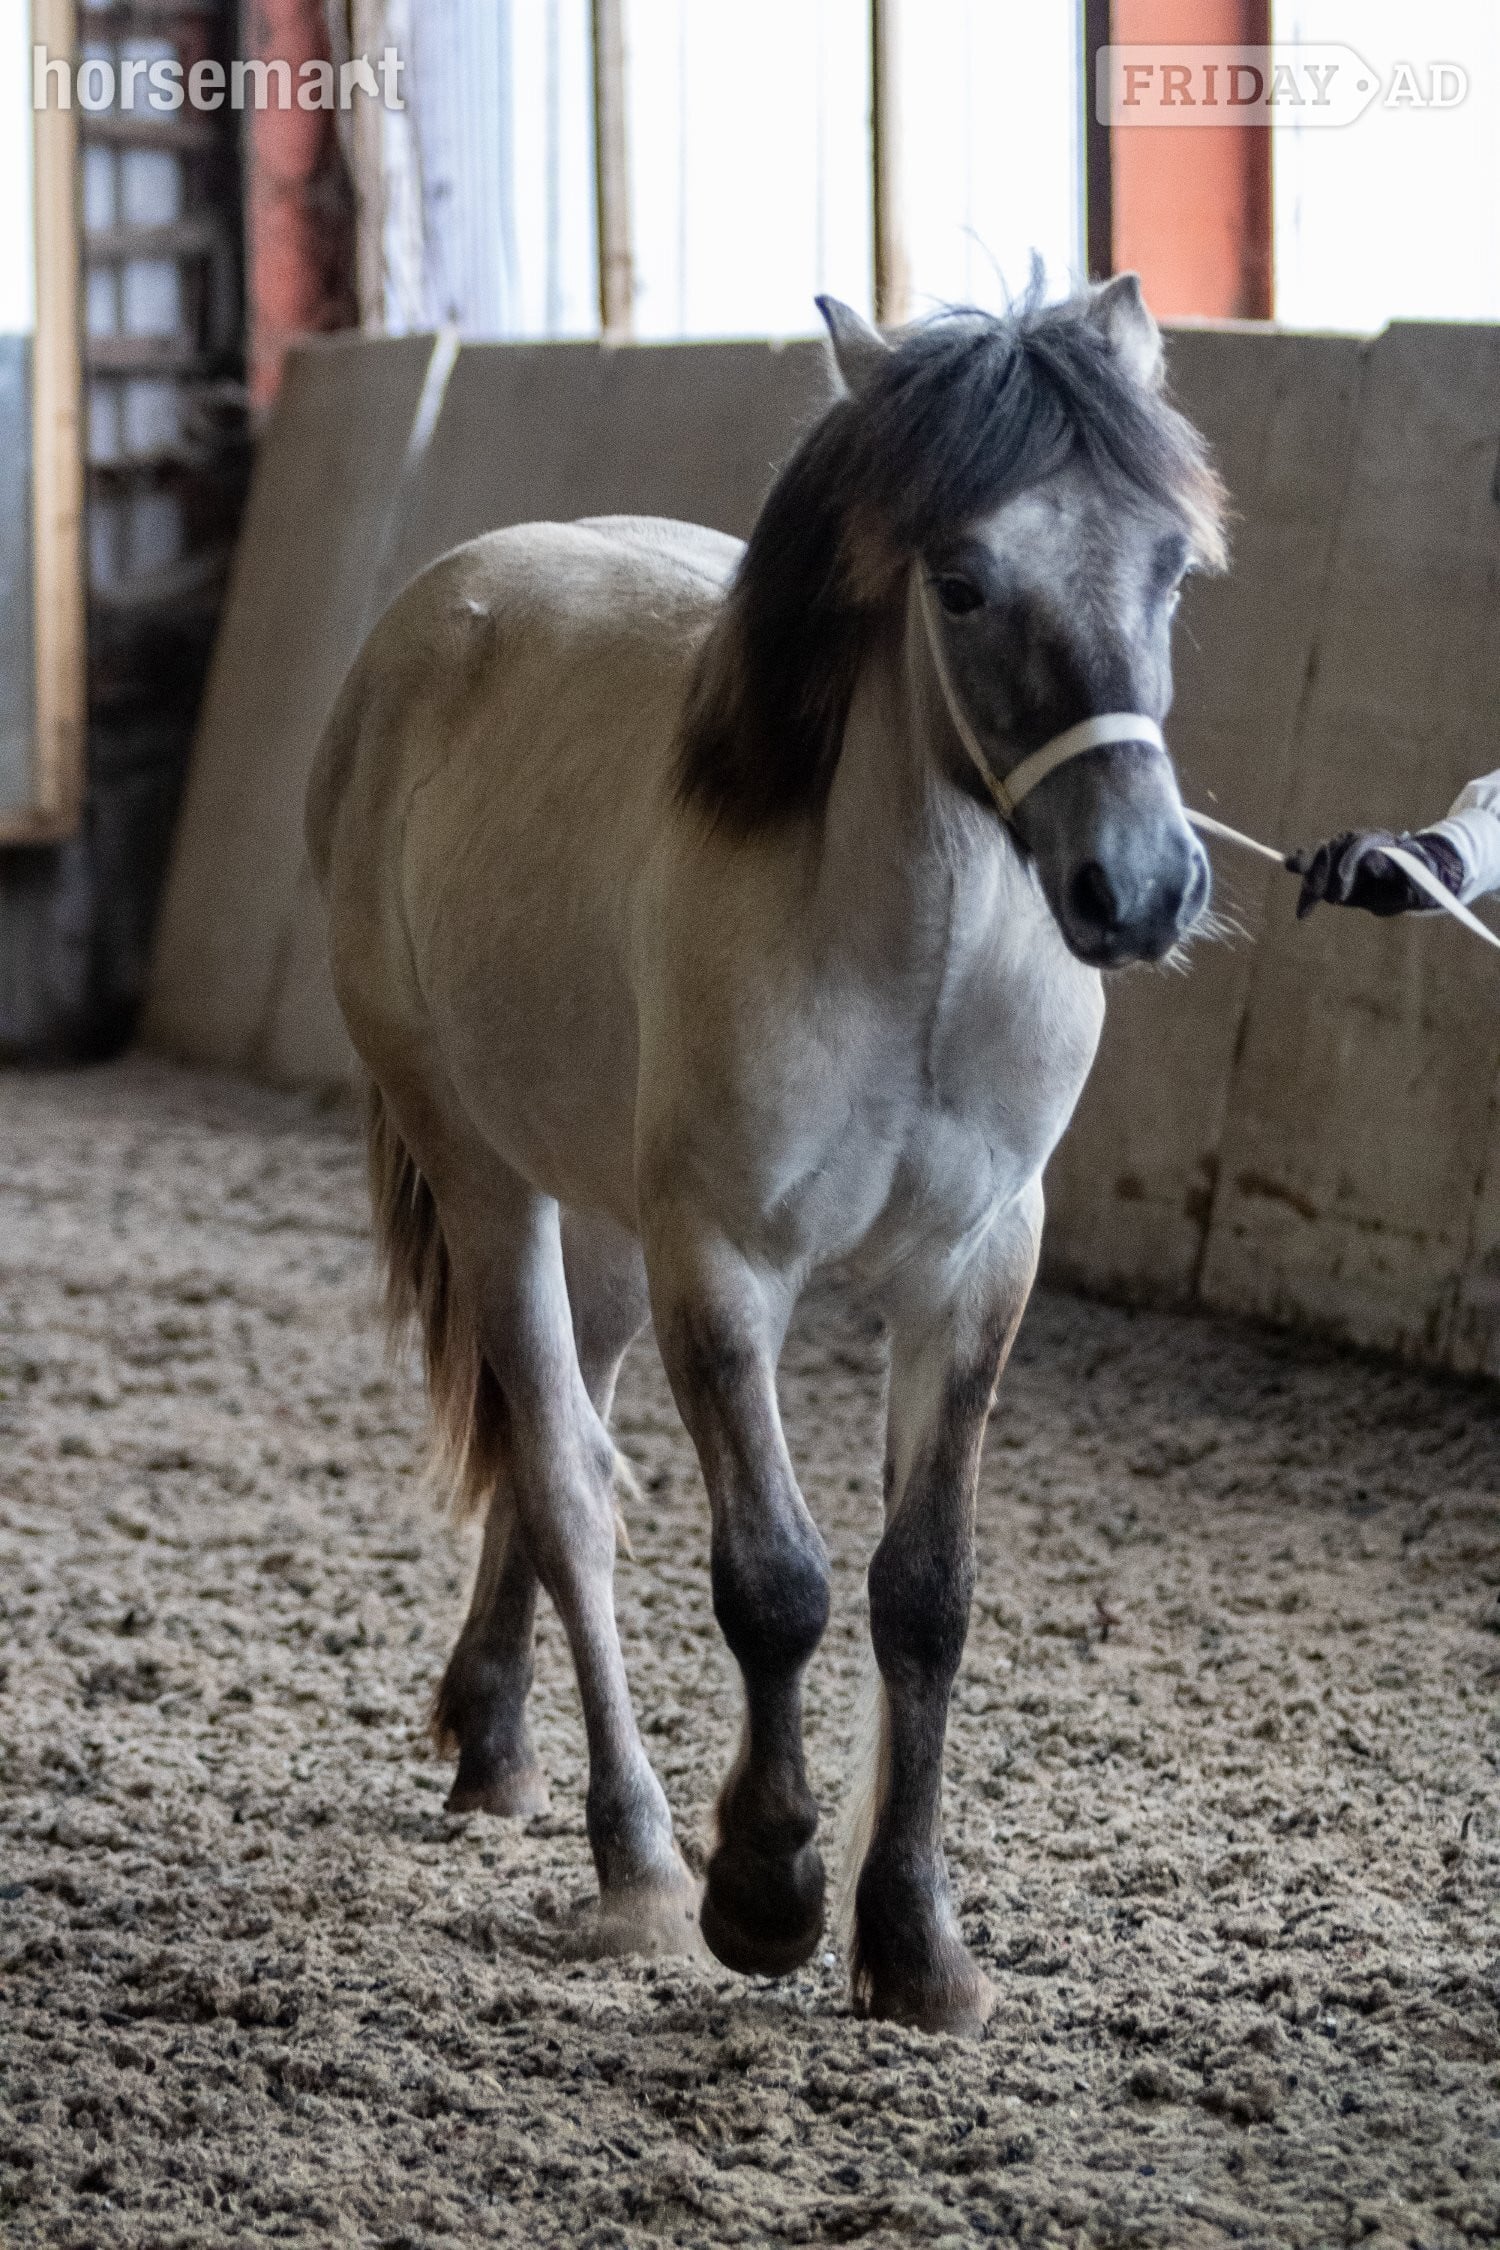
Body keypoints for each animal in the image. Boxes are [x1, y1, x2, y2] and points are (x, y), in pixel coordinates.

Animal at [306, 274, 1227, 2035]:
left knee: (554, 1441)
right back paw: (636, 1859)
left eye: (1171, 565)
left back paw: (494, 1736)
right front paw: (766, 1888)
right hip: (492, 1180)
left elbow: (923, 1591)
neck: (911, 957)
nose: (1139, 887)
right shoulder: (723, 1266)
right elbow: (777, 1582)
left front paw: (916, 1940)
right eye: (961, 581)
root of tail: (430, 616)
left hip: (598, 1218)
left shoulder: (975, 1267)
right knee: (565, 1479)